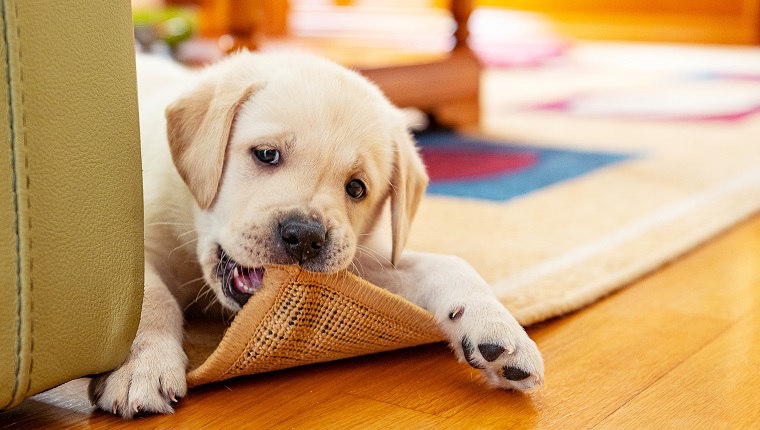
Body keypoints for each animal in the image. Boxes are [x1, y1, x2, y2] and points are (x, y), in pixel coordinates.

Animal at [89, 50, 544, 416]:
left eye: (356, 188)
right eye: (266, 154)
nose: (305, 236)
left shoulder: (356, 265)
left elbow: (450, 264)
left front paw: (497, 327)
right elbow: (148, 299)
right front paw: (141, 367)